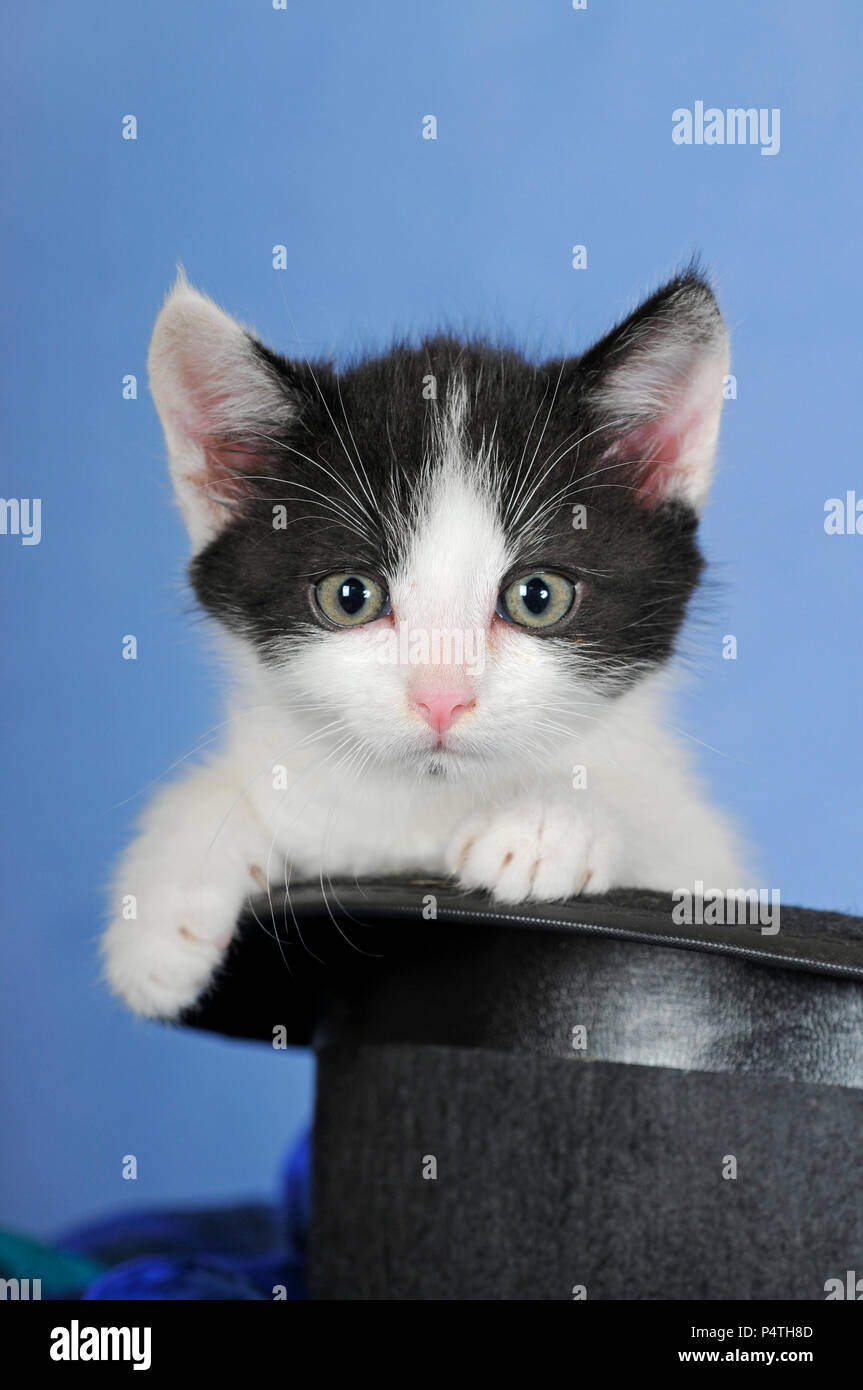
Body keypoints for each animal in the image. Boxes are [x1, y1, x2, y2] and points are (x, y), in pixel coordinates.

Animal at [104, 268, 744, 1023]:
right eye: (350, 596)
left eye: (538, 596)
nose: (441, 699)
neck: (419, 825)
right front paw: (164, 908)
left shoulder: (705, 861)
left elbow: (665, 834)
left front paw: (550, 823)